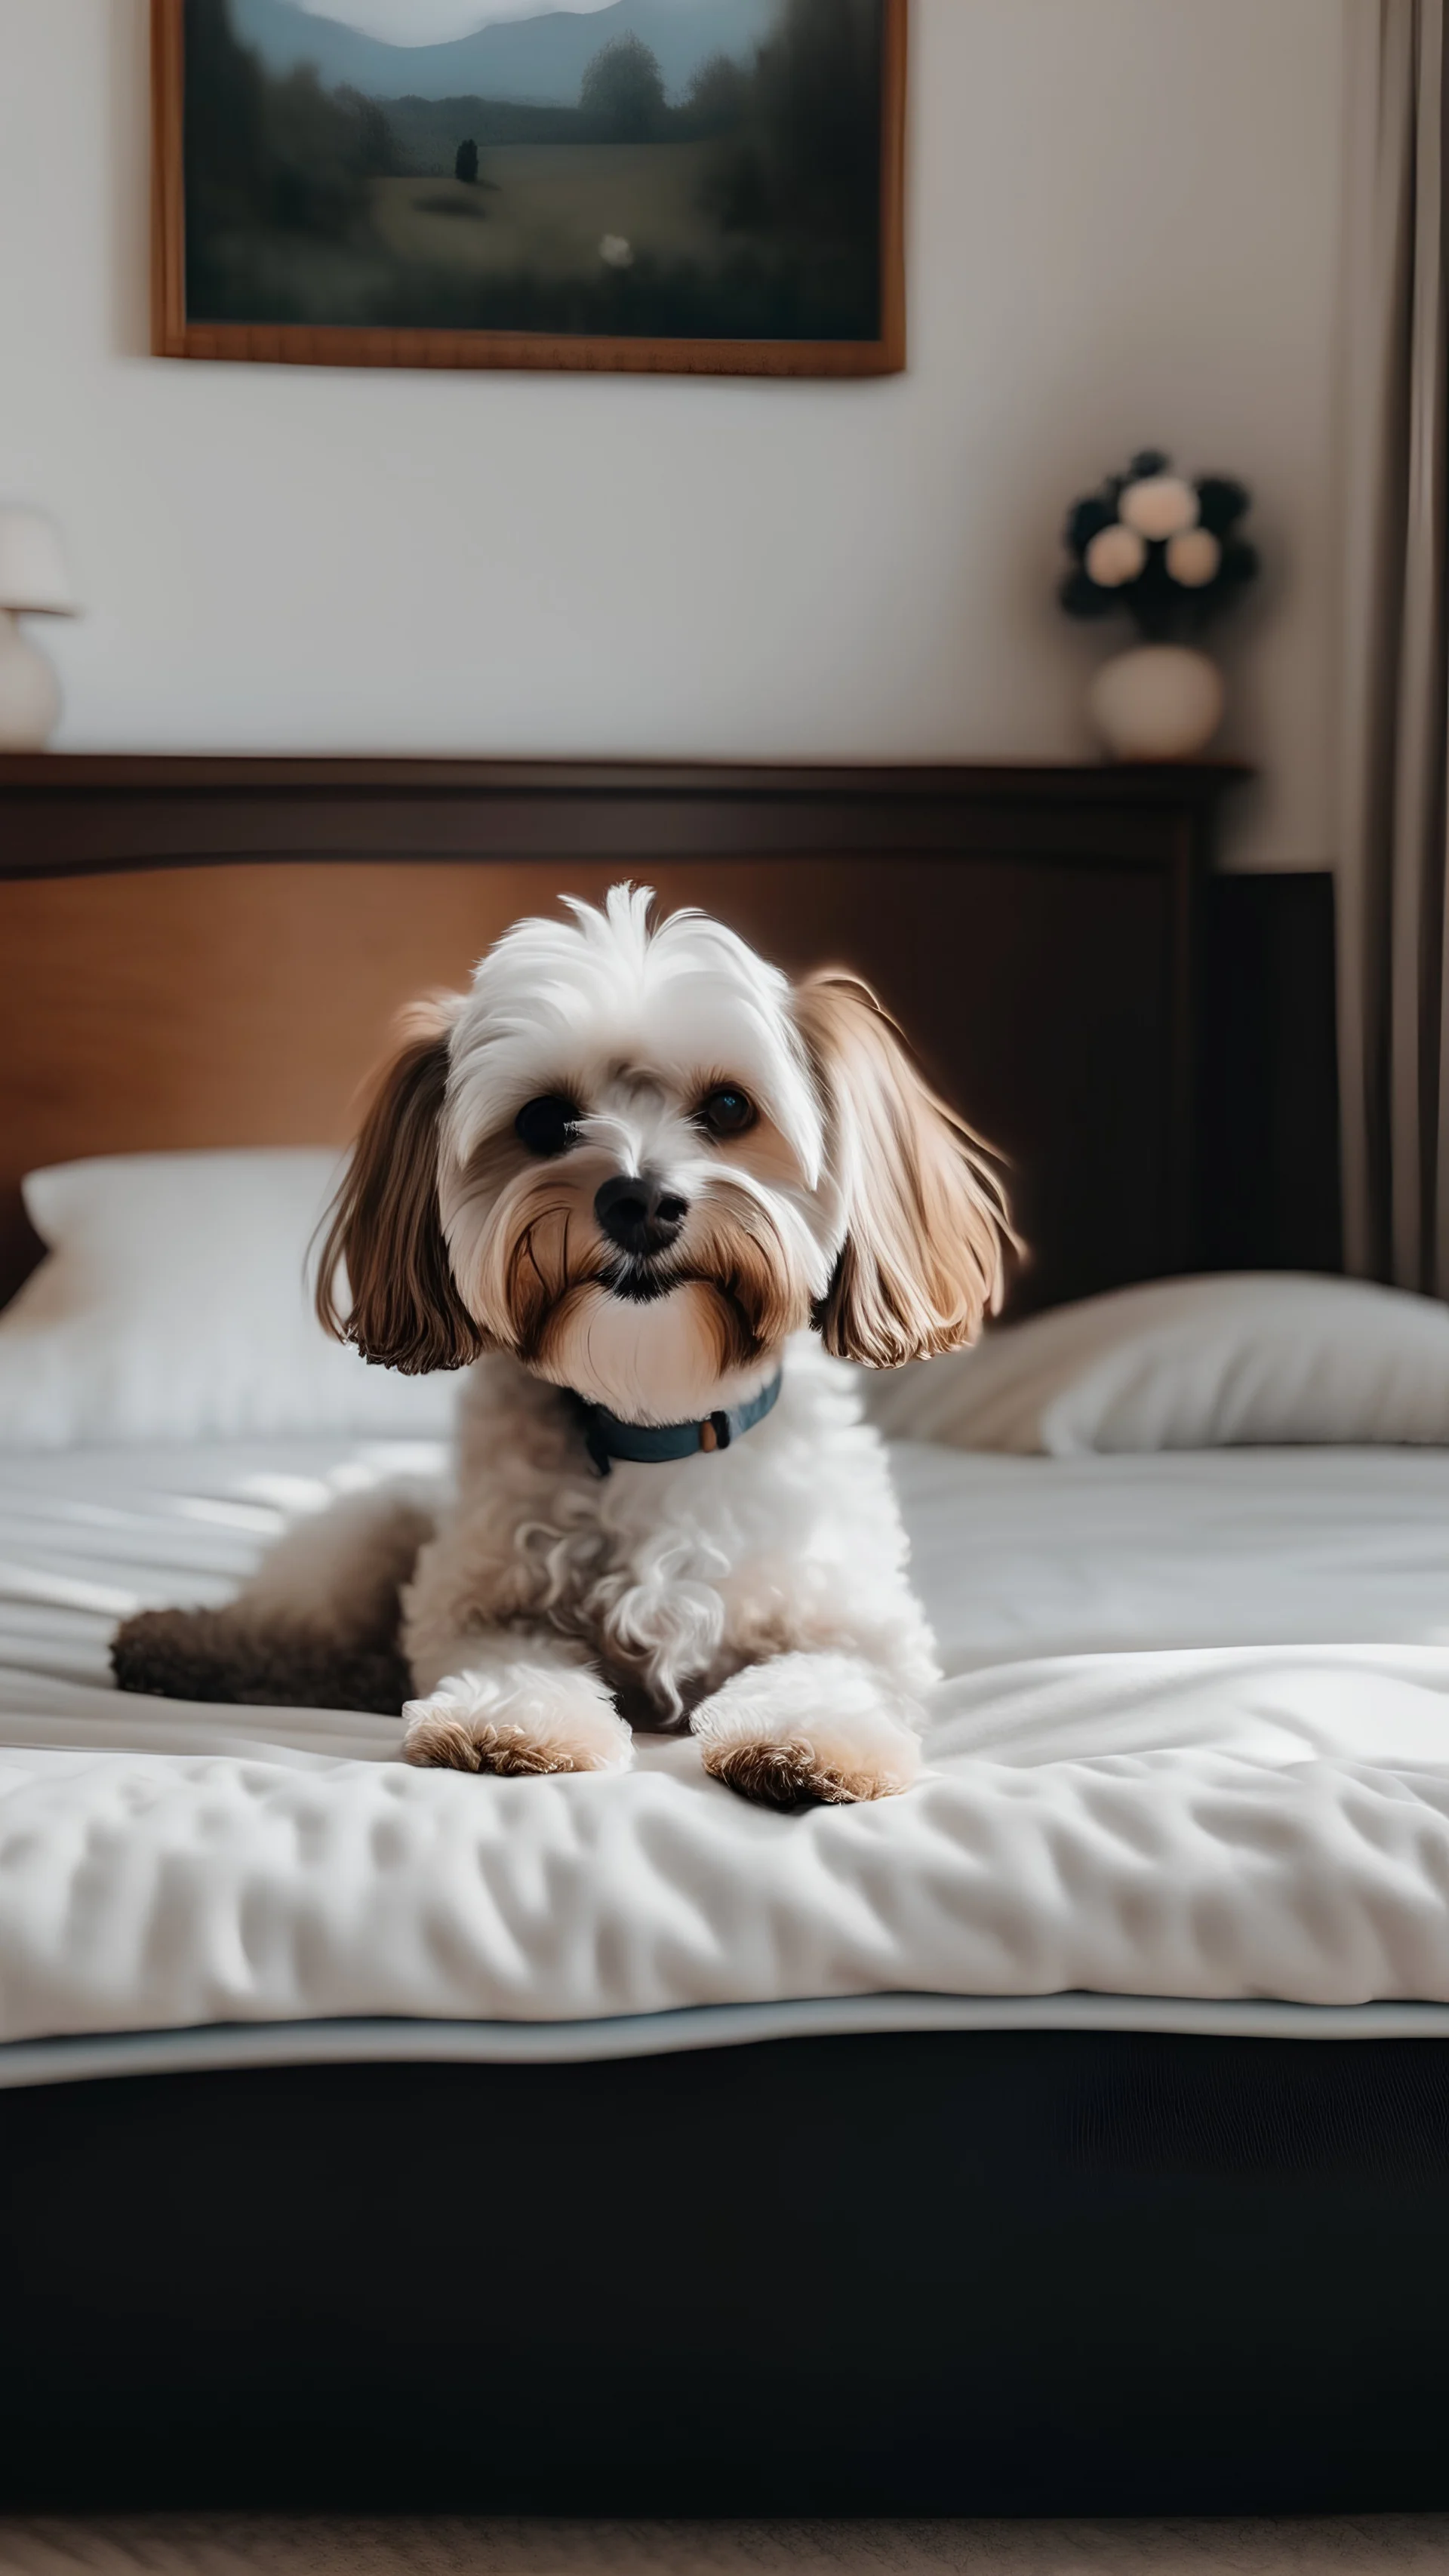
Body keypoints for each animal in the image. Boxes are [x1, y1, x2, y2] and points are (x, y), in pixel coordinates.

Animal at [110, 891, 1008, 1813]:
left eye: (729, 1108)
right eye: (545, 1119)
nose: (640, 1200)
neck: (655, 1415)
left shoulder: (857, 1624)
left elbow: (824, 1672)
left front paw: (808, 1739)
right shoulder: (479, 1603)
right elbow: (514, 1662)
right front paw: (513, 1724)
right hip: (369, 1527)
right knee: (300, 1626)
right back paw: (181, 1643)